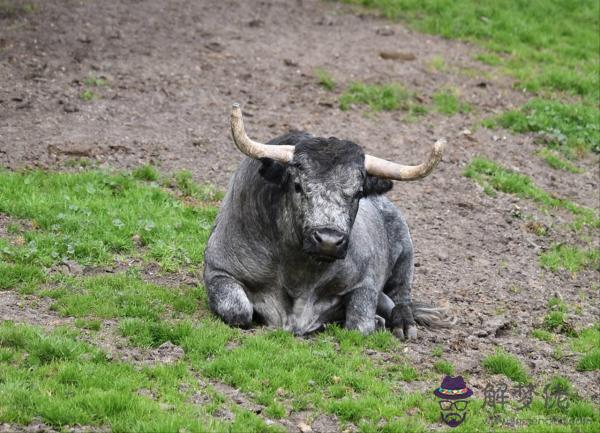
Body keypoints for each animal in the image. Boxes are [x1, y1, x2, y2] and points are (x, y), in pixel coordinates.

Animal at [204, 104, 452, 338]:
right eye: (297, 185)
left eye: (358, 192)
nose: (329, 241)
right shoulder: (217, 271)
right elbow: (238, 311)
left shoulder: (366, 283)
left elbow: (359, 325)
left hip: (405, 256)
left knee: (401, 296)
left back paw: (403, 323)